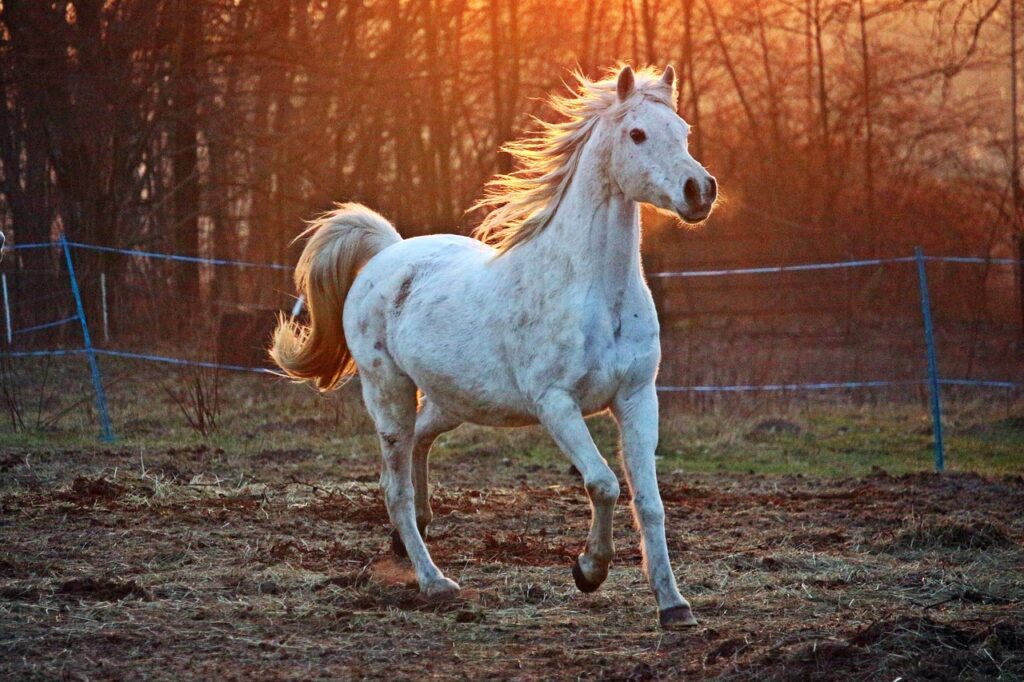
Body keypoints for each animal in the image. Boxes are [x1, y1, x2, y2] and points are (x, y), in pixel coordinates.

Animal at [270, 65, 717, 629]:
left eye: (683, 131)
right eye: (636, 134)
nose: (699, 190)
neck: (595, 291)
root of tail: (387, 254)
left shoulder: (637, 398)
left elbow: (650, 502)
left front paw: (674, 606)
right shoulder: (556, 404)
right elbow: (604, 483)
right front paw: (588, 571)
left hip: (453, 400)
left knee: (419, 445)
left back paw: (411, 535)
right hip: (388, 392)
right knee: (395, 486)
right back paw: (435, 582)